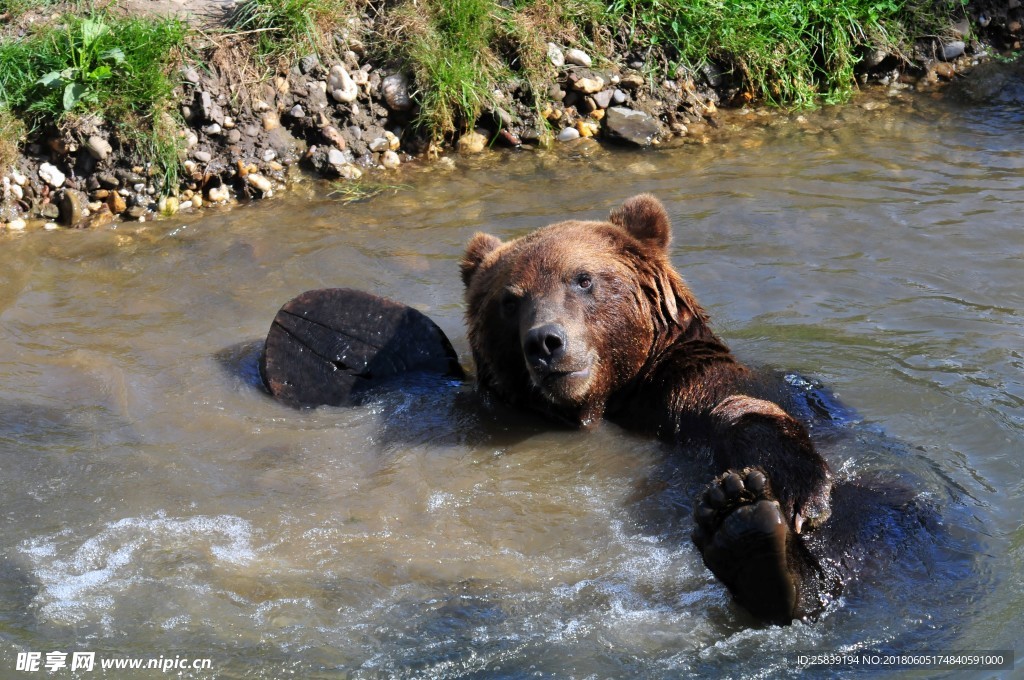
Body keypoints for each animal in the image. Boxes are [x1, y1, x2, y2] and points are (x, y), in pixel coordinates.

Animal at [460, 193, 835, 622]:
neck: (606, 401)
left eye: (582, 278)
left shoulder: (685, 387)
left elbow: (744, 409)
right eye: (509, 300)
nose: (544, 342)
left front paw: (802, 495)